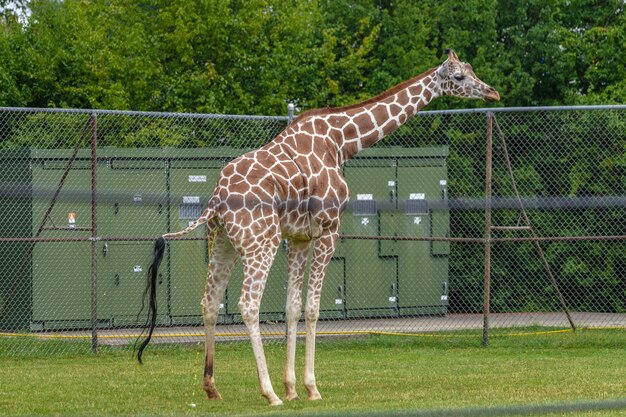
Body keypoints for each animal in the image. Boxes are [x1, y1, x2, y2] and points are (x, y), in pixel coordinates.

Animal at [135, 48, 498, 404]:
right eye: (459, 77)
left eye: (470, 69)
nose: (492, 92)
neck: (341, 141)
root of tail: (217, 198)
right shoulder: (328, 229)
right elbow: (312, 308)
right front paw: (310, 388)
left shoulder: (298, 237)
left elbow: (292, 307)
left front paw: (292, 387)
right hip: (260, 242)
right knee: (248, 304)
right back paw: (268, 393)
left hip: (222, 241)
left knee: (209, 301)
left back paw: (212, 387)